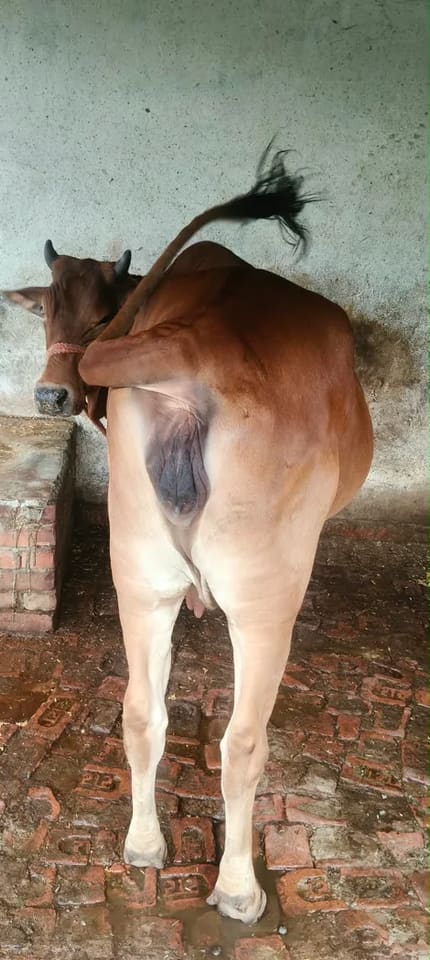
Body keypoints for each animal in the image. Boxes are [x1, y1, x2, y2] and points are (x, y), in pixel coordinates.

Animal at [4, 149, 373, 923]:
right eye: (45, 309)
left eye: (103, 315)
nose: (50, 394)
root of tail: (194, 341)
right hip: (264, 601)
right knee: (244, 742)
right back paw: (237, 888)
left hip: (141, 574)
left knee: (142, 712)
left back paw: (144, 845)